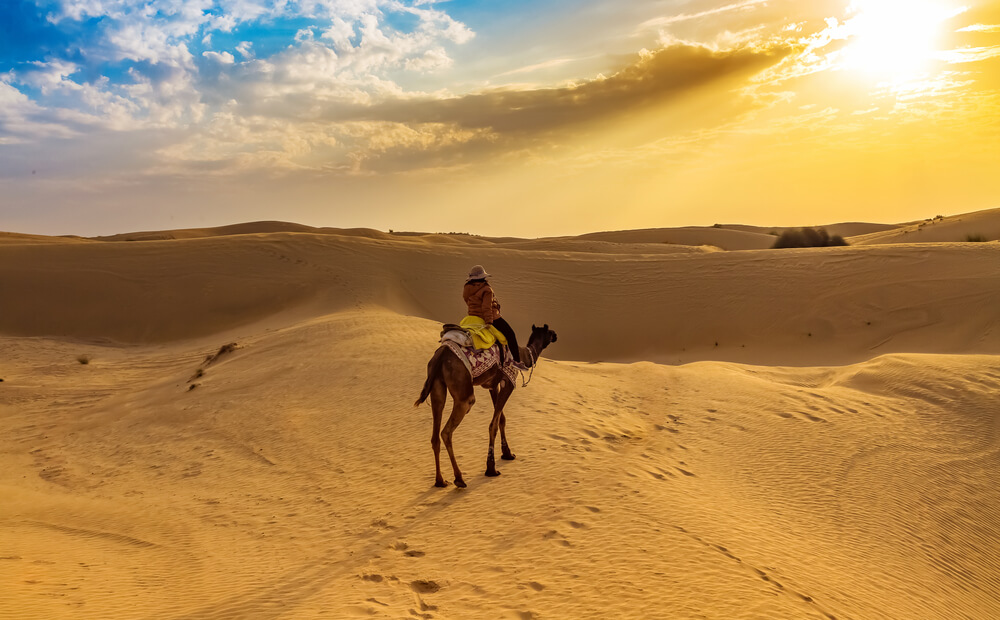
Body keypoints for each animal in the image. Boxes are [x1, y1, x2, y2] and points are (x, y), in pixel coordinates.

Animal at [412, 322, 556, 486]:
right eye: (550, 332)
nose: (556, 335)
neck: (523, 355)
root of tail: (440, 357)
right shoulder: (509, 382)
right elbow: (493, 425)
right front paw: (491, 468)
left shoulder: (493, 385)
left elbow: (501, 419)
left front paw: (507, 453)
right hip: (463, 393)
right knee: (447, 431)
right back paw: (459, 478)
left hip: (437, 385)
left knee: (435, 433)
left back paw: (440, 481)